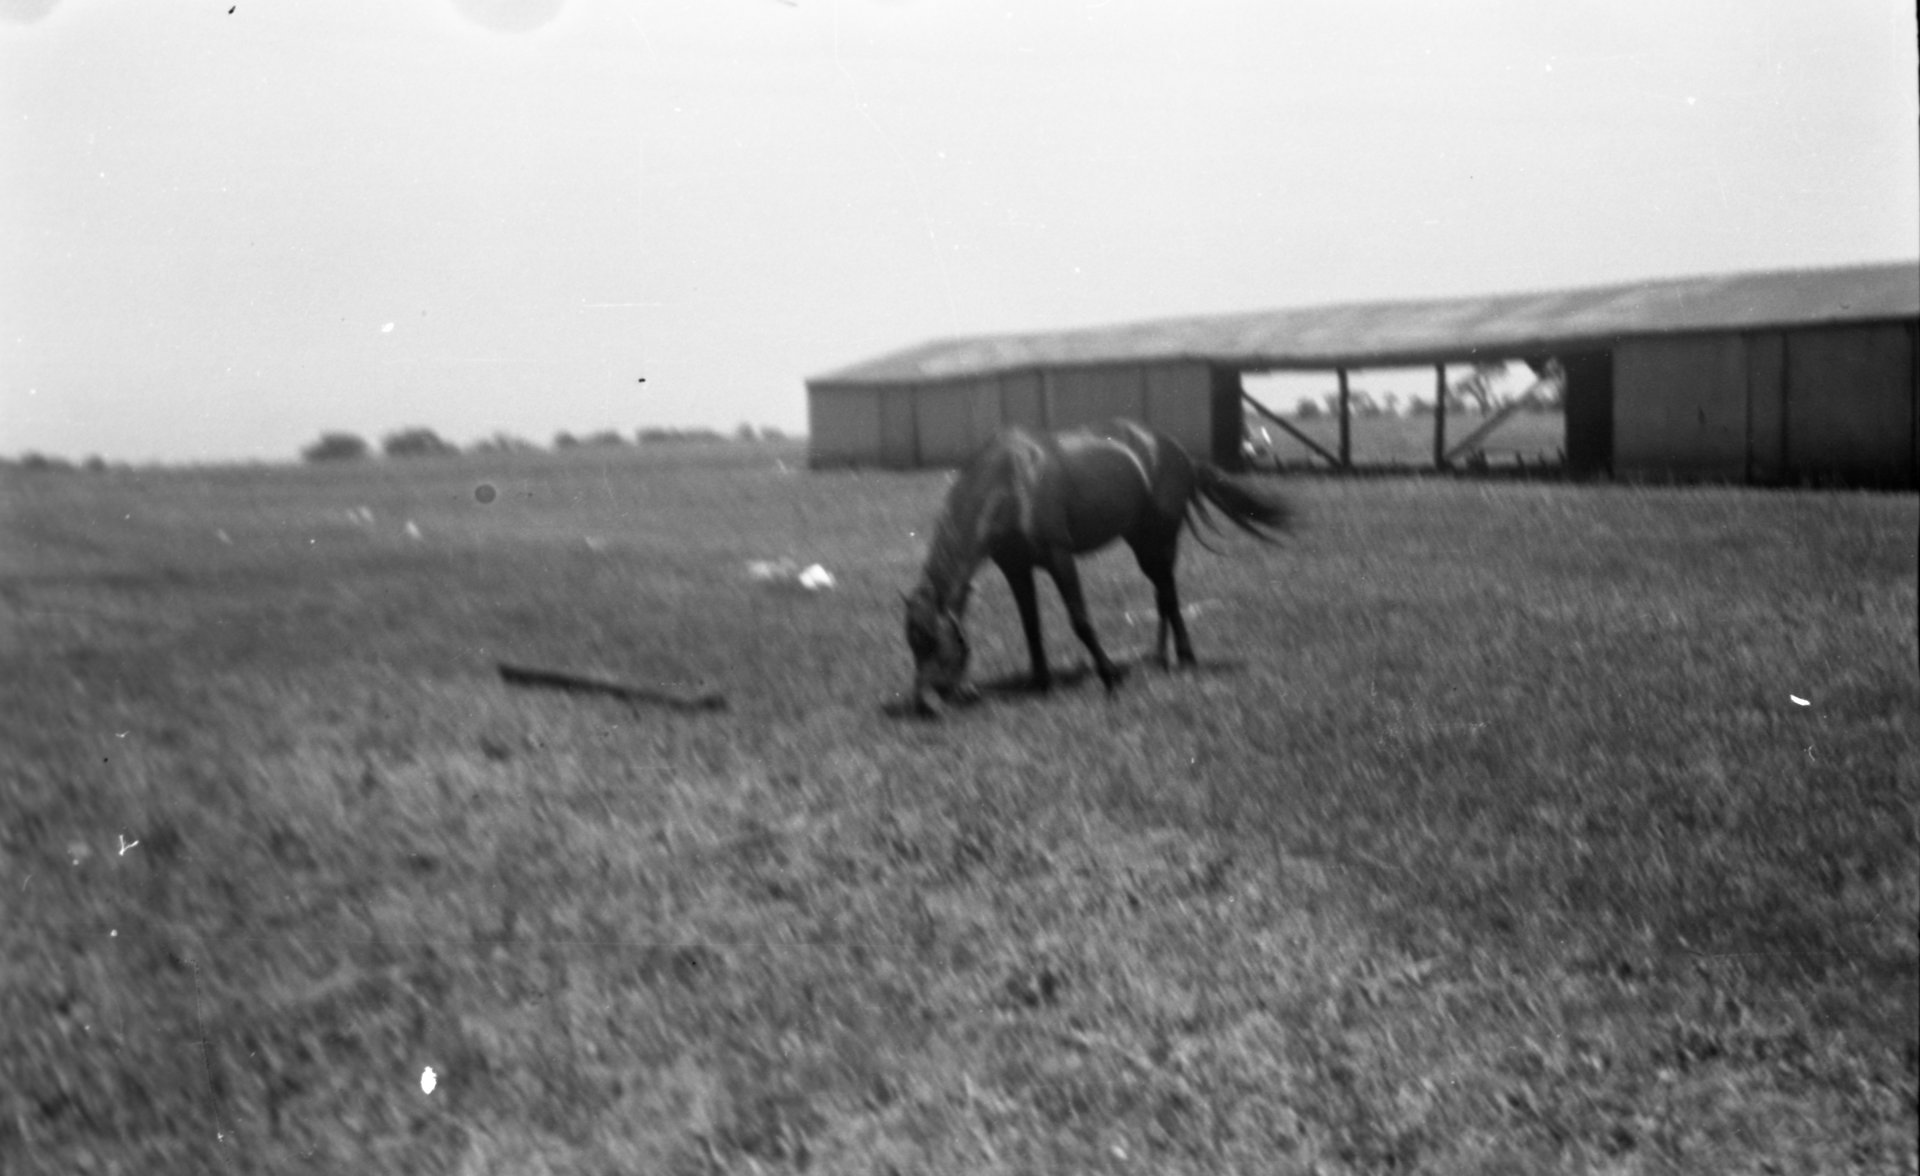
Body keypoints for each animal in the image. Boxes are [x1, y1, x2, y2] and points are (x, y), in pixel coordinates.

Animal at [898, 420, 1290, 714]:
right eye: (912, 643)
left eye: (934, 642)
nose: (924, 705)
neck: (1011, 483)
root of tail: (1176, 450)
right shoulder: (1016, 568)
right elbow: (1031, 626)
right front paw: (1040, 683)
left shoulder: (1059, 557)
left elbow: (1081, 620)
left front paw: (1111, 677)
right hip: (1140, 541)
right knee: (1162, 593)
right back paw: (1161, 657)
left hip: (1160, 540)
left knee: (1168, 594)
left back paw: (1185, 658)